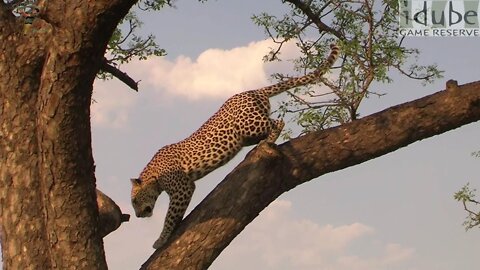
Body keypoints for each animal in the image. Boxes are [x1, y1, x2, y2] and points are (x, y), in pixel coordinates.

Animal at [131, 43, 340, 249]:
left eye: (134, 201)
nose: (138, 215)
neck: (154, 174)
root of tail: (254, 90)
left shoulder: (183, 186)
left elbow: (170, 216)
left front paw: (161, 239)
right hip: (245, 135)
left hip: (249, 125)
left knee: (278, 122)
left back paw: (268, 140)